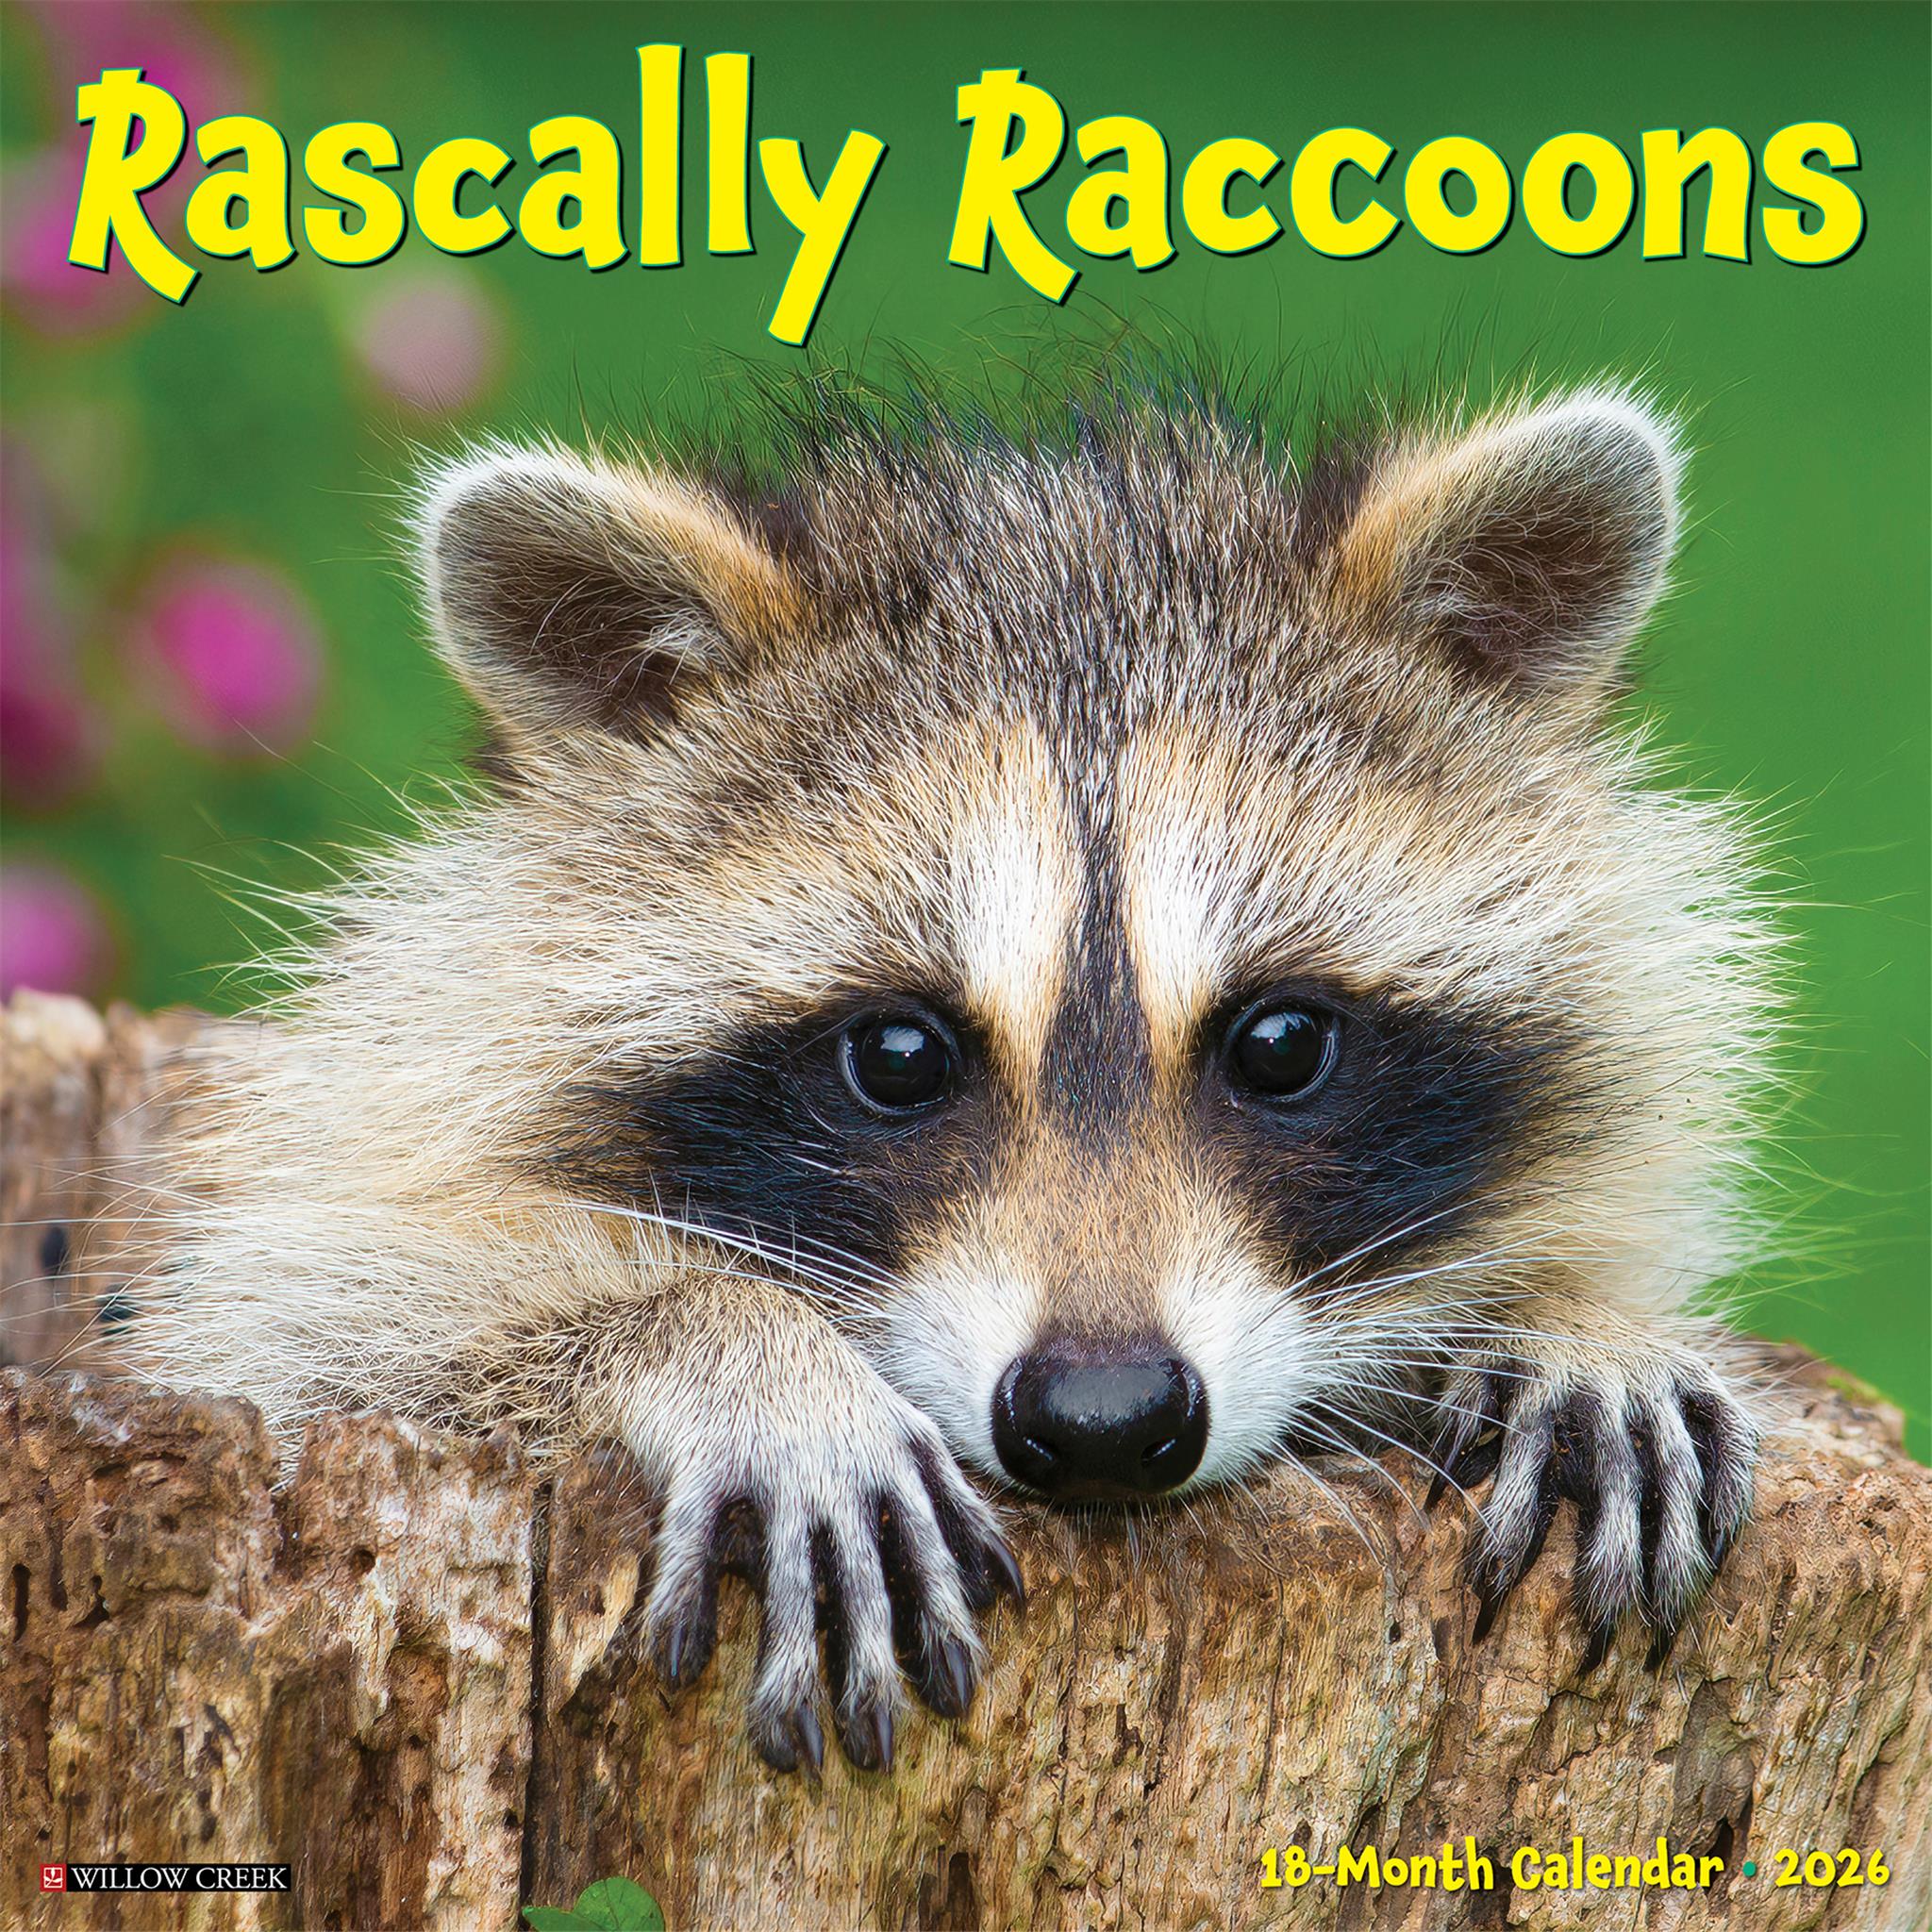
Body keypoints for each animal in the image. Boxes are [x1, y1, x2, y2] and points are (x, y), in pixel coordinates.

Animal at [130, 369, 1777, 1775]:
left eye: (1281, 1044)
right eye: (899, 1056)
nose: (1106, 1421)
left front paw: (1579, 1317)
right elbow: (321, 1339)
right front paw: (721, 1340)